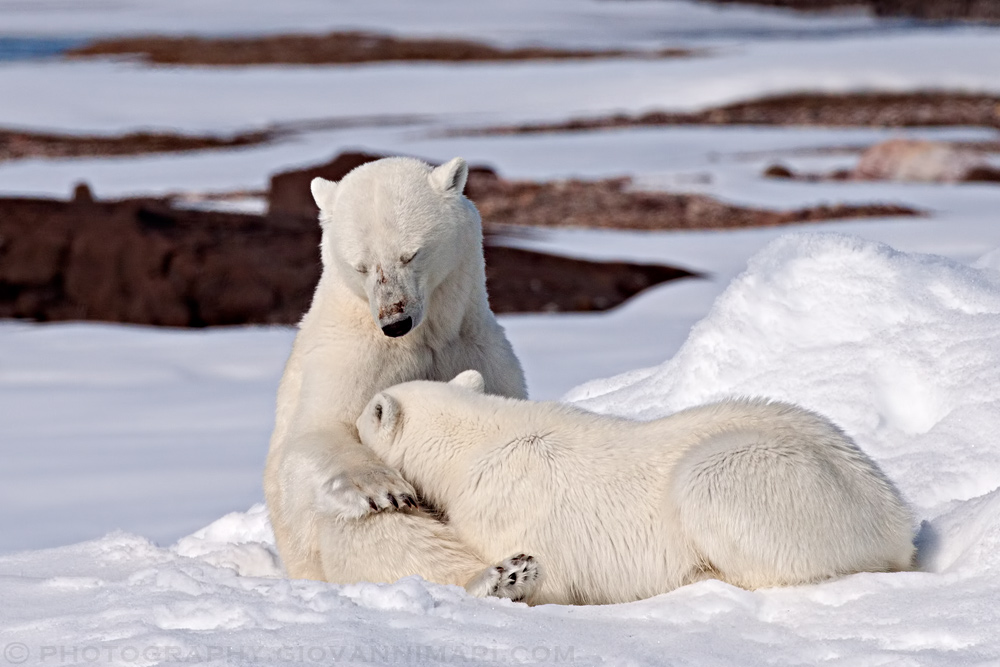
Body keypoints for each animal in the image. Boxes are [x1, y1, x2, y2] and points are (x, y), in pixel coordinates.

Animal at [263, 156, 537, 600]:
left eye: (411, 254)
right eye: (360, 265)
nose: (395, 321)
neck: (423, 336)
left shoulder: (475, 346)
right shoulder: (352, 355)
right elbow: (315, 436)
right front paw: (382, 488)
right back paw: (494, 578)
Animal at [356, 370, 916, 606]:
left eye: (363, 416)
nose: (354, 419)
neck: (474, 440)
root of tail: (896, 522)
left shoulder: (506, 501)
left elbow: (550, 577)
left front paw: (508, 577)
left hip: (773, 477)